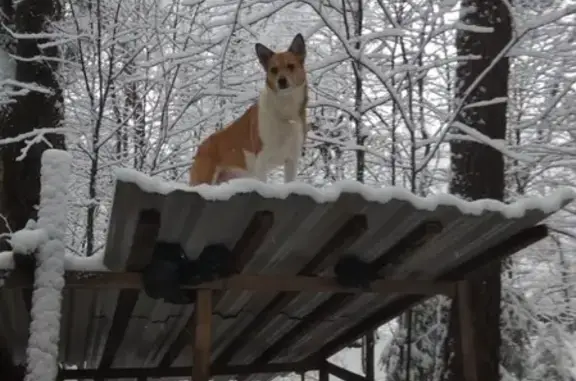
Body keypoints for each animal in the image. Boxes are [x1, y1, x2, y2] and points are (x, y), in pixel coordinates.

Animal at [189, 33, 308, 185]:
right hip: (204, 179)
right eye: (273, 69)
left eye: (291, 66)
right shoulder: (261, 160)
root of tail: (200, 148)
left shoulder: (291, 160)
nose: (281, 81)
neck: (284, 109)